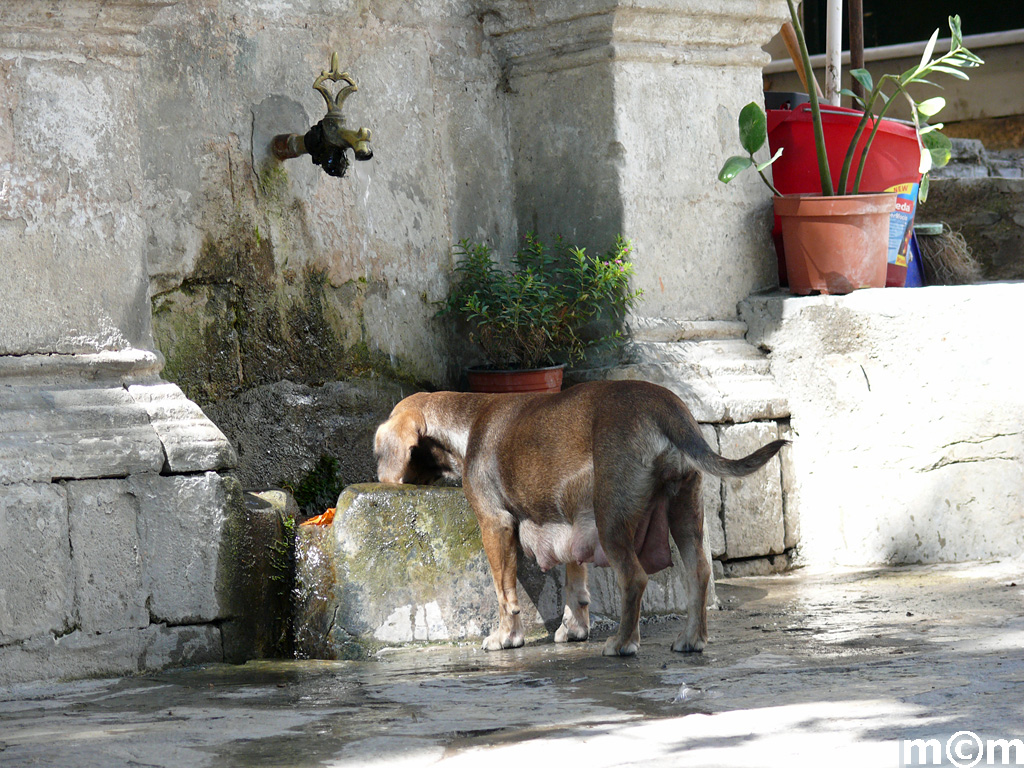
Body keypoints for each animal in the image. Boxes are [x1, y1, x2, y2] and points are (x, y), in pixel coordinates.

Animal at [374, 382, 782, 659]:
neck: (468, 422)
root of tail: (664, 405)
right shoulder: (569, 522)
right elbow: (575, 583)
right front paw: (574, 628)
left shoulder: (494, 523)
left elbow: (504, 592)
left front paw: (506, 637)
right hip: (684, 510)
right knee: (698, 572)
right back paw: (691, 639)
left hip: (611, 518)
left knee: (634, 578)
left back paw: (622, 643)